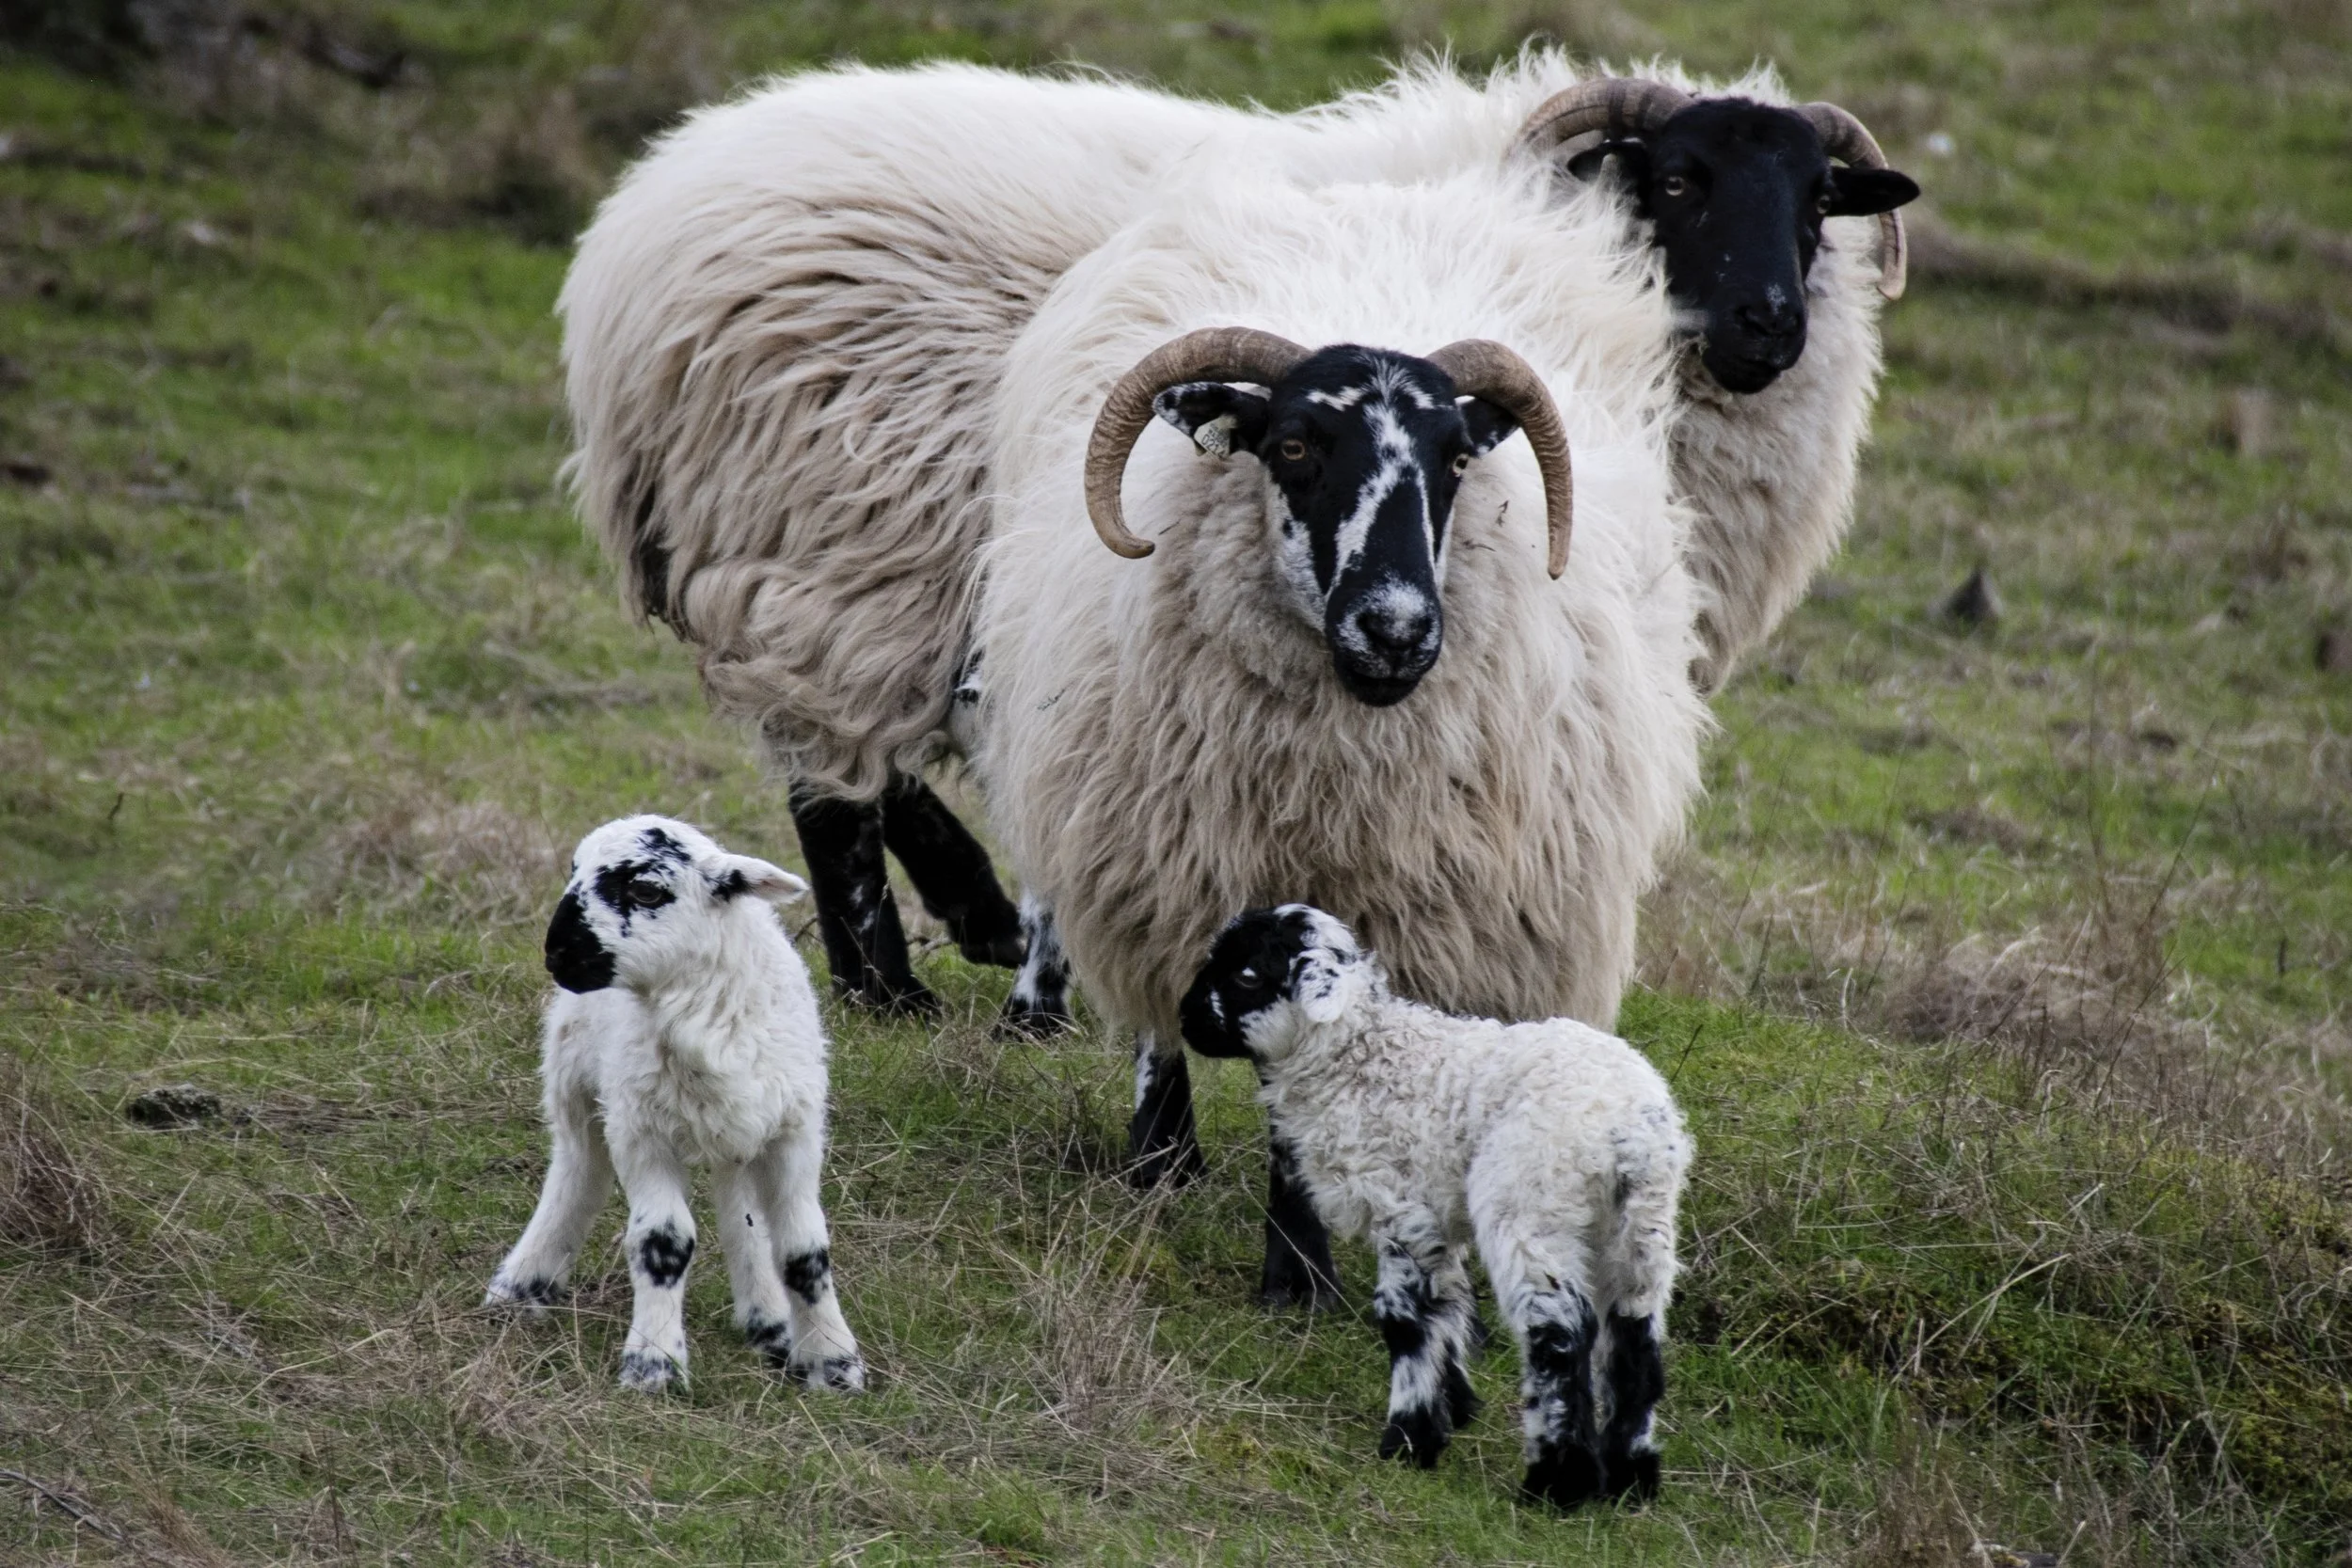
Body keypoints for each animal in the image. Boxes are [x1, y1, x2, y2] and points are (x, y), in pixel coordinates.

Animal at [484, 815, 865, 1395]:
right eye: (572, 873)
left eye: (646, 890)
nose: (558, 953)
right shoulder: (641, 1131)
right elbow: (663, 1241)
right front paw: (654, 1364)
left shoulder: (793, 1132)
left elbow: (804, 1249)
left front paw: (833, 1362)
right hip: (575, 1082)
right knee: (578, 1173)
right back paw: (521, 1285)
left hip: (736, 1135)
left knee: (740, 1212)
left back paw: (769, 1325)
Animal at [556, 53, 1913, 1025]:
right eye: (1676, 180)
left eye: (1816, 201)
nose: (1770, 323)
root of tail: (630, 246)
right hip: (842, 532)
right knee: (832, 774)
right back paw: (897, 974)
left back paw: (958, 923)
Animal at [967, 162, 1709, 1302]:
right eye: (1293, 445)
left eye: (1457, 459)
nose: (1395, 628)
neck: (1339, 780)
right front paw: (1295, 1272)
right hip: (1138, 836)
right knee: (1154, 1006)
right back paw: (1162, 1156)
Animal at [1180, 905, 1693, 1507]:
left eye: (1247, 975)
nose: (1185, 1019)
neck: (1353, 1059)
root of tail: (1630, 1129)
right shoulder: (1437, 1219)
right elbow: (1449, 1307)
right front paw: (1456, 1406)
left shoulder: (1401, 1207)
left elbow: (1407, 1320)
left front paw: (1409, 1439)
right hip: (1642, 1227)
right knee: (1636, 1337)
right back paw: (1632, 1479)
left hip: (1530, 1204)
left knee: (1559, 1334)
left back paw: (1556, 1482)